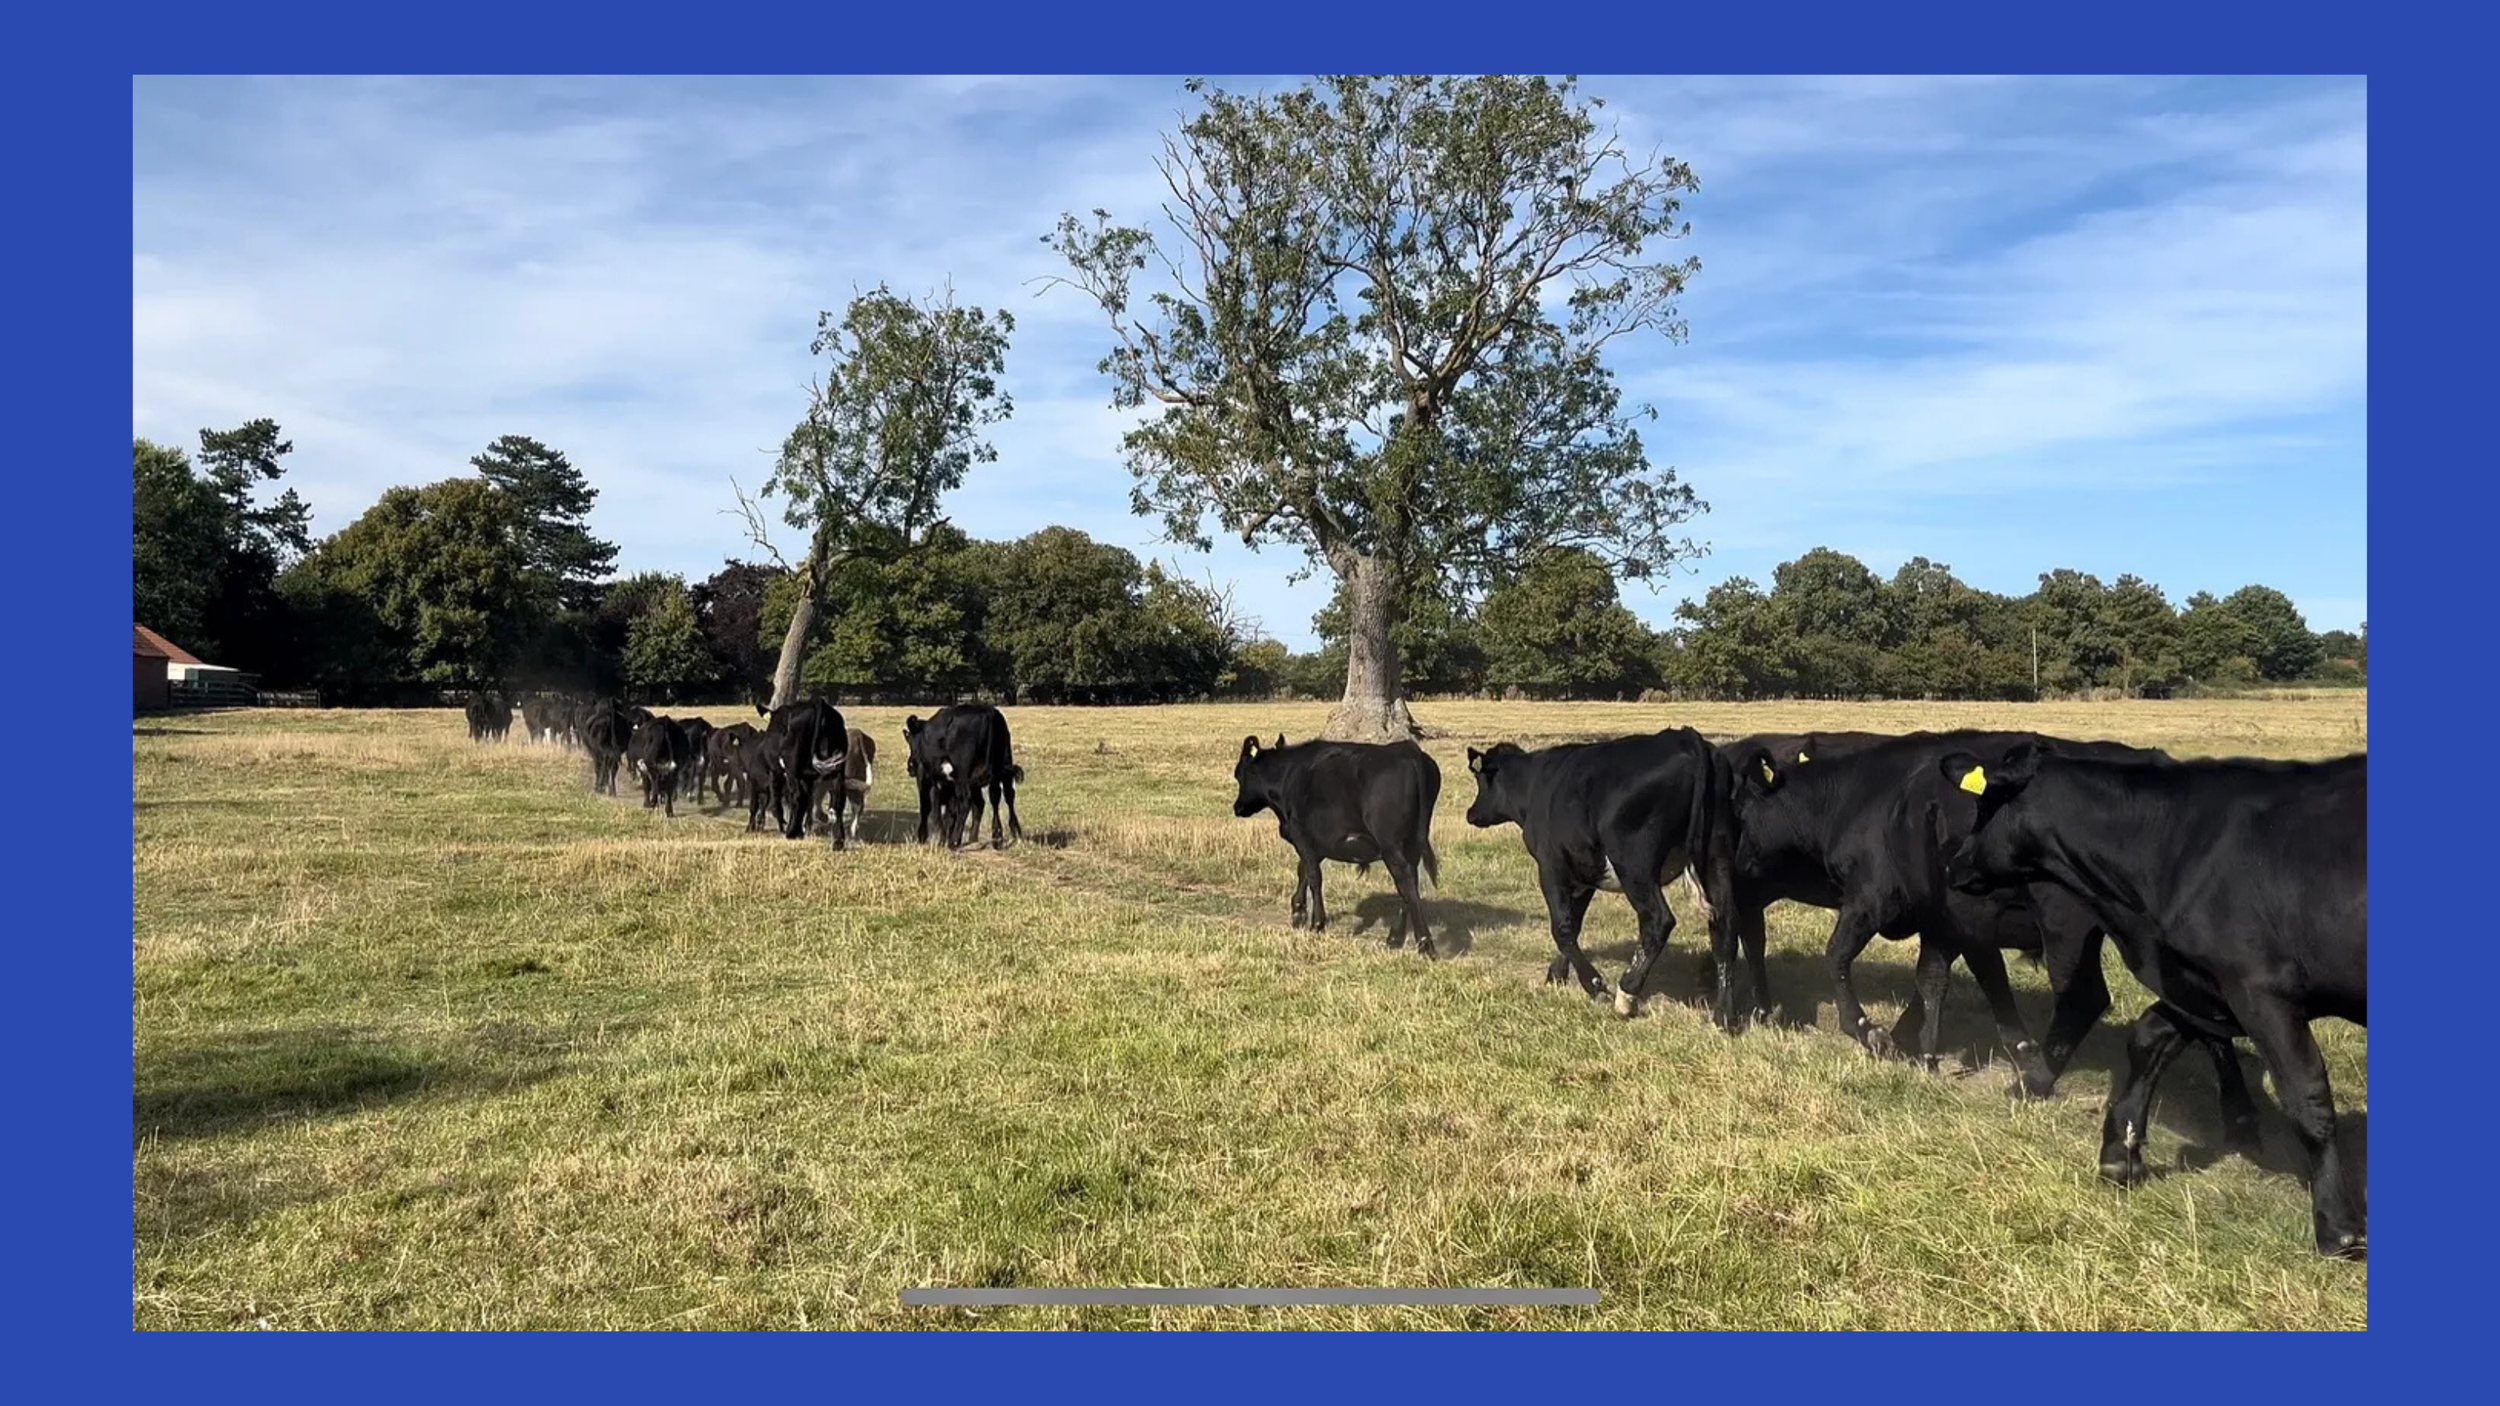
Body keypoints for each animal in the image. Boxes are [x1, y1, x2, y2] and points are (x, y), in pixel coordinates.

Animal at [756, 699, 850, 844]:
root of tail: (818, 702)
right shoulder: (807, 779)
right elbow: (809, 803)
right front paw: (805, 829)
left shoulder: (774, 772)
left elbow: (777, 802)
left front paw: (785, 827)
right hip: (838, 767)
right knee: (837, 798)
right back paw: (838, 840)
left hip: (793, 767)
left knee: (798, 797)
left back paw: (791, 833)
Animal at [903, 705, 1024, 849]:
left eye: (910, 742)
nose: (910, 766)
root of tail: (988, 712)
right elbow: (950, 813)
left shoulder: (929, 781)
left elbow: (930, 809)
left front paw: (928, 838)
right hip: (1003, 764)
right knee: (1002, 795)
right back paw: (1003, 835)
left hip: (963, 774)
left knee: (967, 800)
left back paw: (954, 841)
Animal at [1230, 733, 1441, 957]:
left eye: (1239, 774)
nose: (1237, 807)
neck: (1289, 775)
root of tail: (1407, 750)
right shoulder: (1319, 843)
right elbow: (1303, 870)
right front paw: (1298, 911)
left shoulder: (1302, 836)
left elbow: (1314, 877)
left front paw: (1316, 923)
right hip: (1412, 843)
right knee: (1409, 884)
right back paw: (1395, 937)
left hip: (1390, 844)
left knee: (1405, 880)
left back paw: (1425, 943)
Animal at [1462, 727, 1742, 1029]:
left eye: (1480, 780)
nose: (1471, 813)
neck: (1535, 783)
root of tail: (1683, 738)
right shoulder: (1584, 874)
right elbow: (1573, 924)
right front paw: (1557, 975)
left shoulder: (1551, 868)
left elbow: (1561, 928)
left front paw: (1593, 985)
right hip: (1716, 856)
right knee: (1726, 927)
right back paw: (1725, 1015)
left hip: (1634, 866)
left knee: (1659, 921)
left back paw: (1626, 994)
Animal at [1940, 743, 2368, 1259]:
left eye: (1986, 805)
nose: (1955, 865)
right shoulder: (2198, 983)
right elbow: (2149, 1038)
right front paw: (2119, 1153)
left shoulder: (2260, 989)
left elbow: (2307, 1097)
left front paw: (2337, 1227)